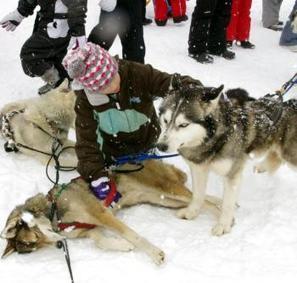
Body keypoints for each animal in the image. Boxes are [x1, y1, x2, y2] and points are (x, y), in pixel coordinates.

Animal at [0, 161, 220, 266]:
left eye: (35, 237)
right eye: (35, 245)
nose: (58, 244)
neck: (54, 210)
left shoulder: (100, 214)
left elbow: (132, 235)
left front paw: (155, 253)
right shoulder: (91, 229)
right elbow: (101, 242)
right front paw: (123, 246)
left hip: (166, 190)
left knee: (200, 200)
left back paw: (222, 218)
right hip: (163, 199)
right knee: (200, 199)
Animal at [155, 85, 294, 236]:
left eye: (183, 125)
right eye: (165, 120)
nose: (160, 146)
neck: (215, 140)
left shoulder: (232, 175)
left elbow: (227, 204)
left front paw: (223, 225)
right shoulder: (198, 169)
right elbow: (198, 194)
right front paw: (192, 212)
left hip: (290, 154)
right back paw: (262, 167)